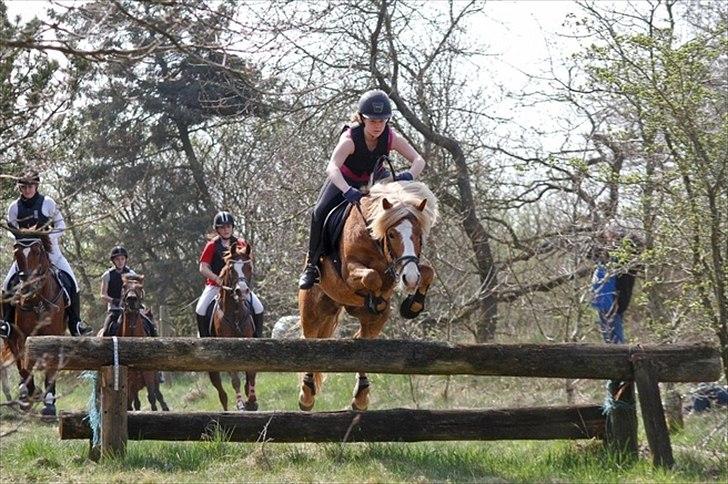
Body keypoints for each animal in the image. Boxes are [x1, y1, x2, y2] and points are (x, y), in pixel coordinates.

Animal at [3, 233, 67, 414]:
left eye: (37, 252)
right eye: (16, 252)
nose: (27, 287)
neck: (38, 300)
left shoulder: (54, 336)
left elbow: (50, 368)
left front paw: (49, 403)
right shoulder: (22, 338)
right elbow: (25, 366)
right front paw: (29, 393)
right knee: (21, 365)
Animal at [116, 274, 168, 410]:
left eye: (140, 287)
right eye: (124, 286)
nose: (131, 299)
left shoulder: (149, 376)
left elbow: (152, 399)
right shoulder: (129, 382)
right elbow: (129, 404)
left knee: (157, 395)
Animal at [206, 240, 258, 410]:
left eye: (249, 268)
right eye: (230, 268)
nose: (241, 291)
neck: (235, 312)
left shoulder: (249, 342)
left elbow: (251, 373)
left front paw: (252, 400)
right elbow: (234, 378)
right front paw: (241, 403)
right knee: (221, 391)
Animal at [298, 180, 438, 410]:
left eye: (419, 235)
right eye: (392, 234)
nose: (409, 278)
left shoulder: (397, 269)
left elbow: (427, 272)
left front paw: (413, 305)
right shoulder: (350, 270)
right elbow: (372, 277)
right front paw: (378, 299)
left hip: (366, 318)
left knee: (363, 341)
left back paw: (361, 396)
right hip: (312, 309)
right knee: (311, 339)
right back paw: (307, 394)